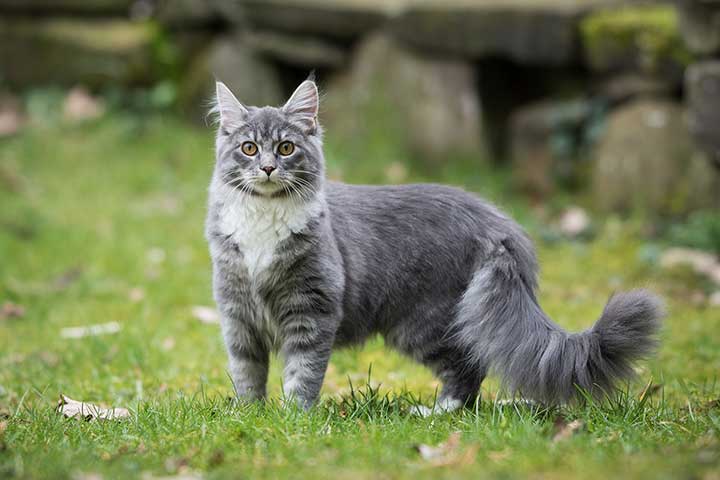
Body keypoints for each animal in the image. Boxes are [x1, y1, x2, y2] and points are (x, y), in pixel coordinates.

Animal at [204, 78, 664, 412]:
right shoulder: (237, 311)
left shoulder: (311, 307)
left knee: (468, 369)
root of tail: (495, 221)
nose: (267, 168)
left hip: (423, 322)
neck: (263, 218)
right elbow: (247, 371)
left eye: (285, 148)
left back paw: (437, 412)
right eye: (249, 148)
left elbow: (303, 371)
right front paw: (250, 414)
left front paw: (295, 418)